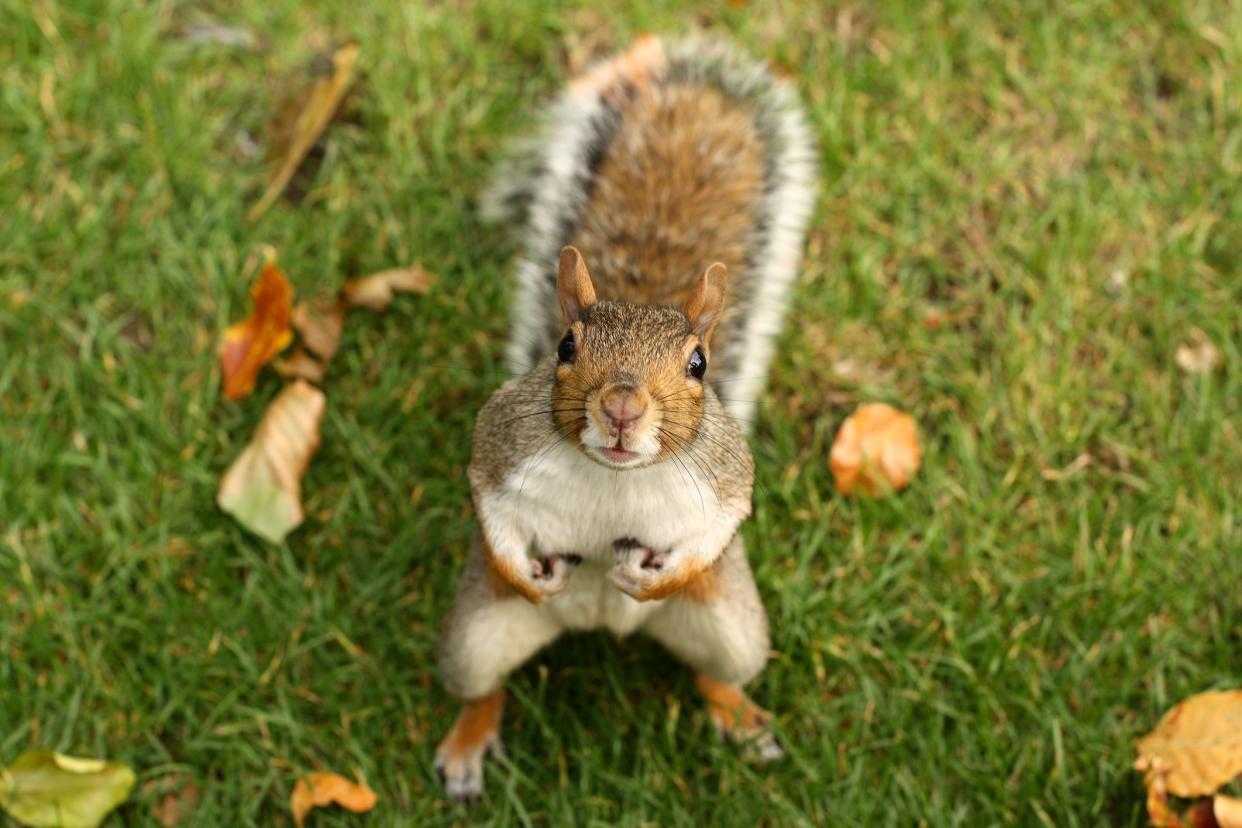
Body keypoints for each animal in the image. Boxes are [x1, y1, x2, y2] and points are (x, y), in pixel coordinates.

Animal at [434, 33, 814, 804]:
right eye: (564, 346)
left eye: (699, 364)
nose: (621, 406)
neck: (613, 477)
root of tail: (597, 626)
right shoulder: (500, 444)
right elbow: (488, 501)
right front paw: (527, 573)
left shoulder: (726, 475)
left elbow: (723, 521)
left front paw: (659, 576)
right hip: (473, 638)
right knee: (483, 686)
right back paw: (467, 743)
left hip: (735, 628)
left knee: (717, 670)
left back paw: (739, 716)